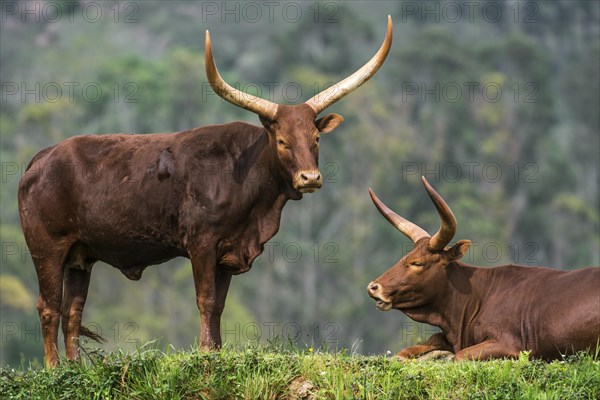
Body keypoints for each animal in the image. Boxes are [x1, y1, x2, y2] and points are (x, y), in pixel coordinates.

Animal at [17, 17, 394, 368]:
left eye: (315, 139)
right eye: (282, 141)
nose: (310, 177)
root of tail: (40, 159)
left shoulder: (228, 250)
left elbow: (219, 307)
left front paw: (216, 353)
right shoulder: (201, 242)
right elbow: (206, 300)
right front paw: (204, 355)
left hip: (81, 255)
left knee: (73, 311)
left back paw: (75, 369)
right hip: (47, 247)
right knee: (49, 307)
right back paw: (54, 370)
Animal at [366, 177, 600, 360]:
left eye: (417, 263)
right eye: (404, 257)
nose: (373, 287)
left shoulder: (509, 345)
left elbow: (459, 356)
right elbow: (406, 352)